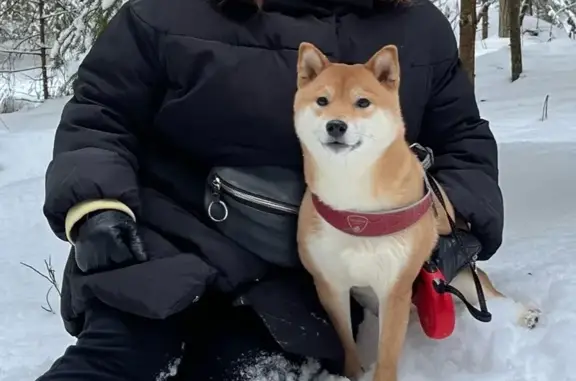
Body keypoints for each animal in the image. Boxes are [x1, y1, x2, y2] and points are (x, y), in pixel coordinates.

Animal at [294, 42, 544, 380]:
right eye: (322, 100)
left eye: (363, 102)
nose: (336, 125)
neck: (354, 204)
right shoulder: (331, 284)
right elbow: (346, 342)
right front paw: (354, 373)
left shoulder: (395, 287)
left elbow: (387, 355)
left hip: (459, 275)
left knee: (491, 295)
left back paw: (523, 314)